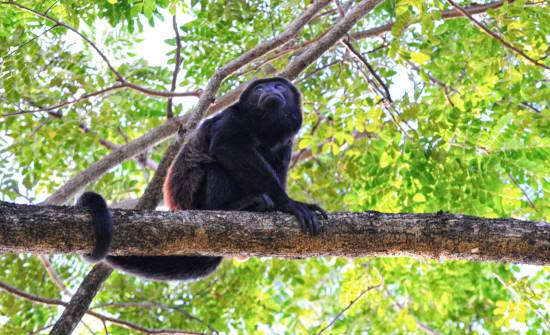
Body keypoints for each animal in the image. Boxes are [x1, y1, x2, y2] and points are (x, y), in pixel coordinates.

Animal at [82, 77, 328, 282]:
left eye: (278, 86)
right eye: (259, 89)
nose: (269, 90)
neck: (265, 129)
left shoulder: (287, 143)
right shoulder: (232, 118)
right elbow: (228, 148)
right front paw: (289, 204)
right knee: (216, 168)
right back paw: (239, 206)